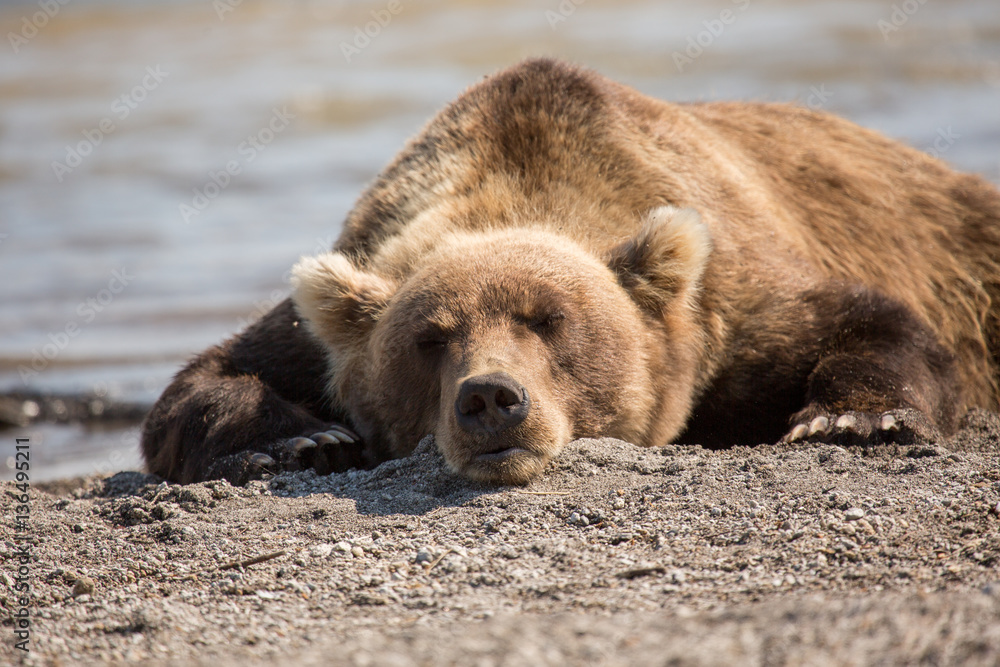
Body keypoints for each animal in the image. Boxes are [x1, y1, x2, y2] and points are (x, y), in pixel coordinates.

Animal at [141, 58, 1000, 486]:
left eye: (549, 320)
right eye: (429, 338)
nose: (491, 398)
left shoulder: (733, 301)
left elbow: (866, 320)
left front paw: (852, 418)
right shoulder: (328, 309)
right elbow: (209, 378)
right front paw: (303, 440)